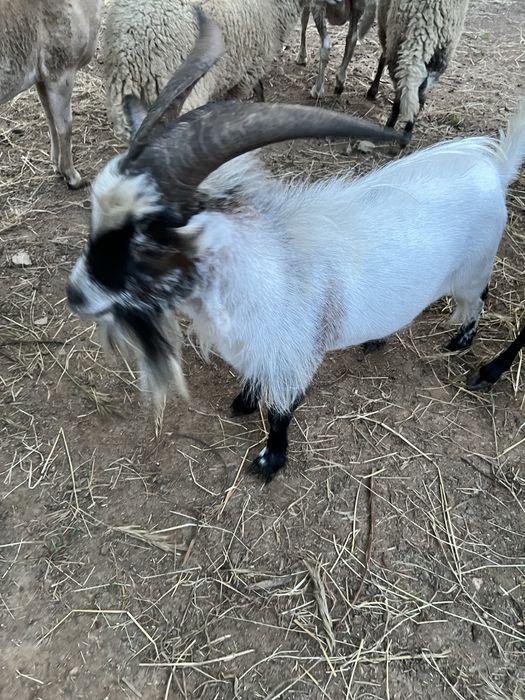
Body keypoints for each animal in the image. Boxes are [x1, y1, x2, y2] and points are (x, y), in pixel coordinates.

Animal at [0, 0, 101, 188]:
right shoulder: (60, 74)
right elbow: (65, 126)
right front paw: (72, 176)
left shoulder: (42, 78)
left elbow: (50, 119)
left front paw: (57, 165)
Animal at [67, 11, 525, 482]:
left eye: (149, 239)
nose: (76, 295)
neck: (270, 269)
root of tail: (495, 168)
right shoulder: (257, 350)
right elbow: (253, 383)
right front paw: (243, 403)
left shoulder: (291, 357)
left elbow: (281, 411)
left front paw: (270, 460)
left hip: (473, 269)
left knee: (478, 300)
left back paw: (467, 350)